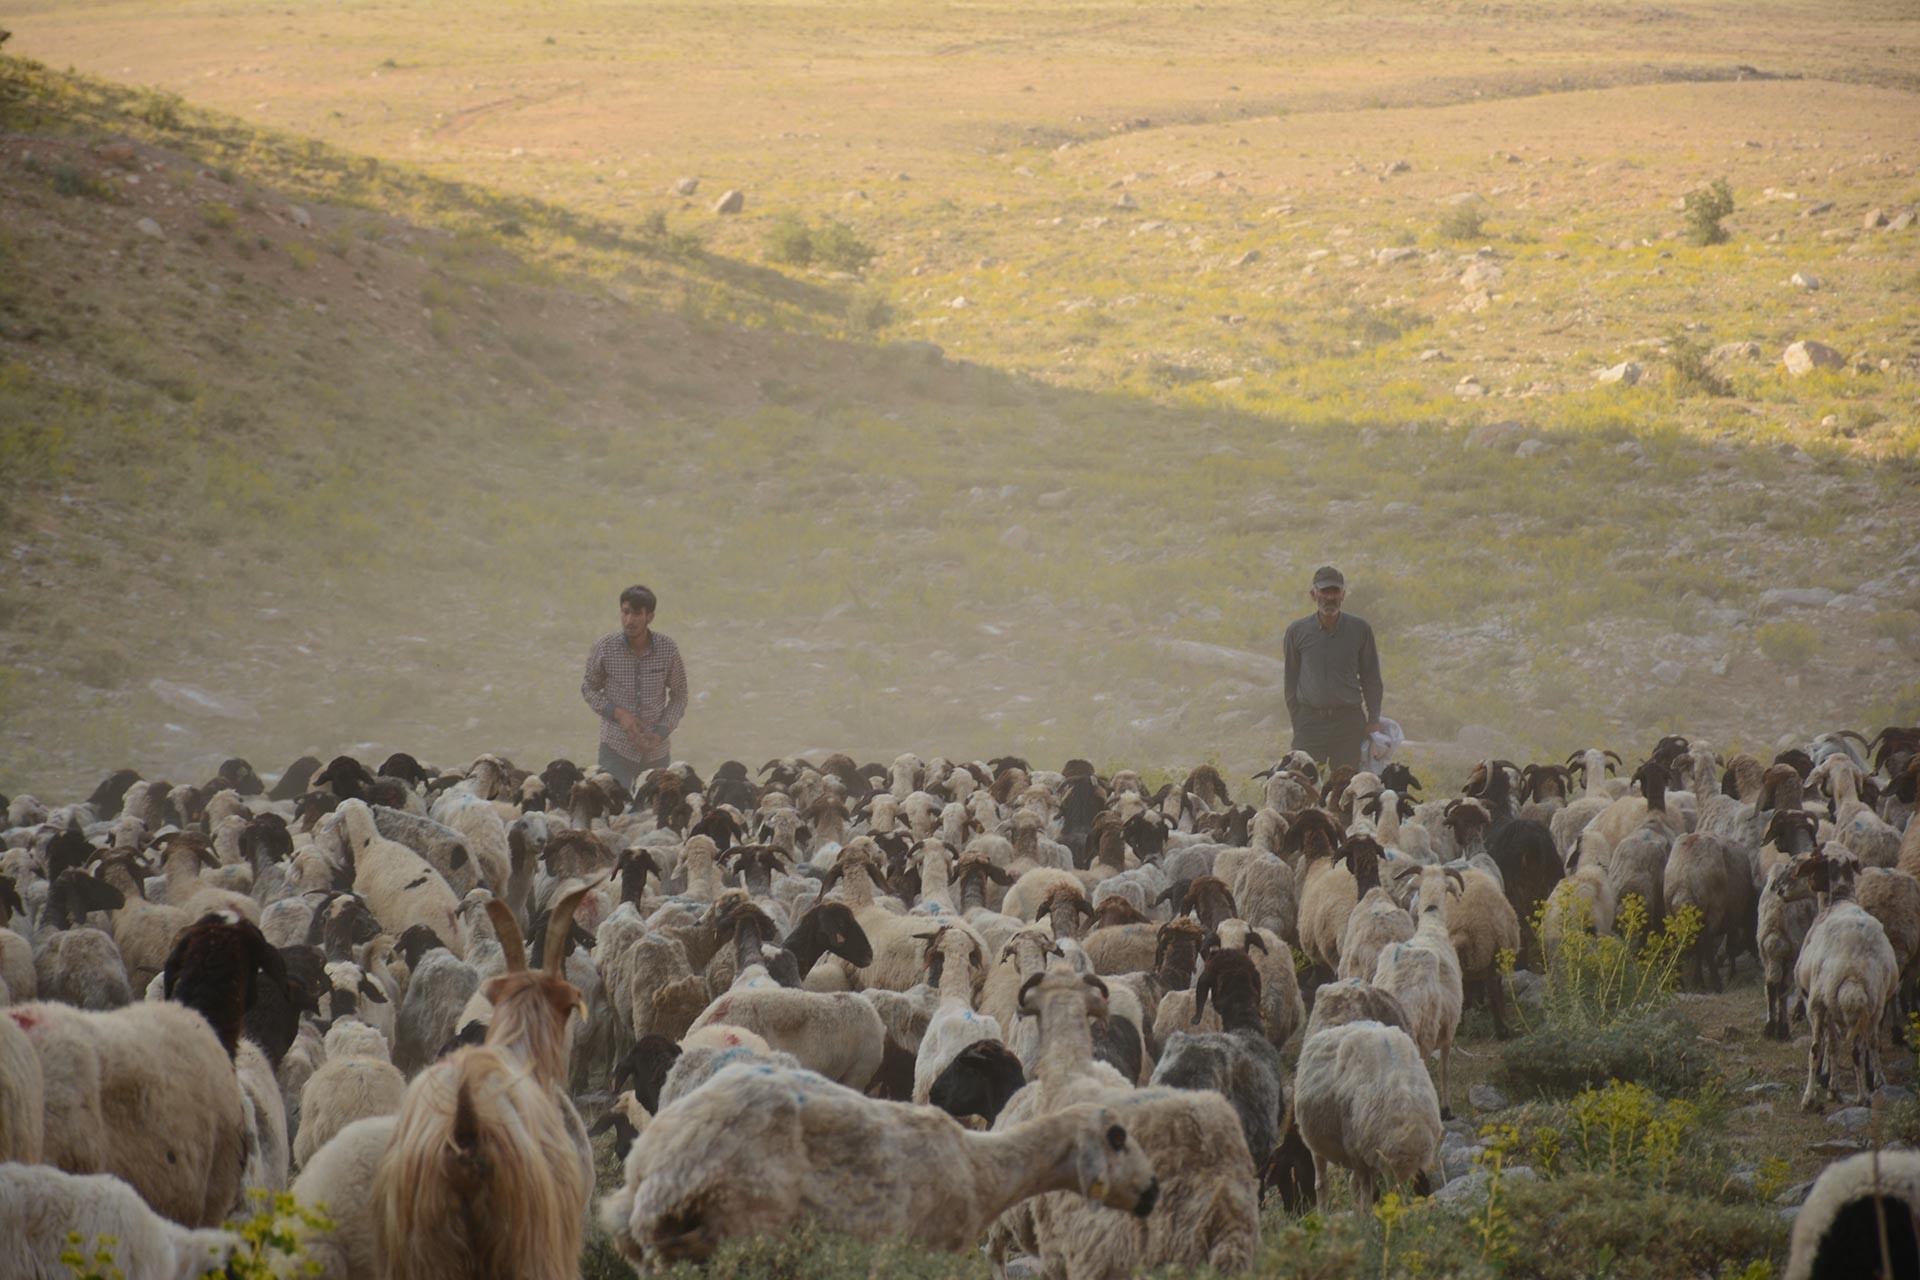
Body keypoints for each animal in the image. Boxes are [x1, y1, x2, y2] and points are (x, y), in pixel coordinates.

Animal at [599, 1059, 1152, 1258]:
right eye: (1118, 1138)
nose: (1152, 1192)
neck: (984, 1166)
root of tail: (652, 1170)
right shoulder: (932, 1250)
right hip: (742, 1225)